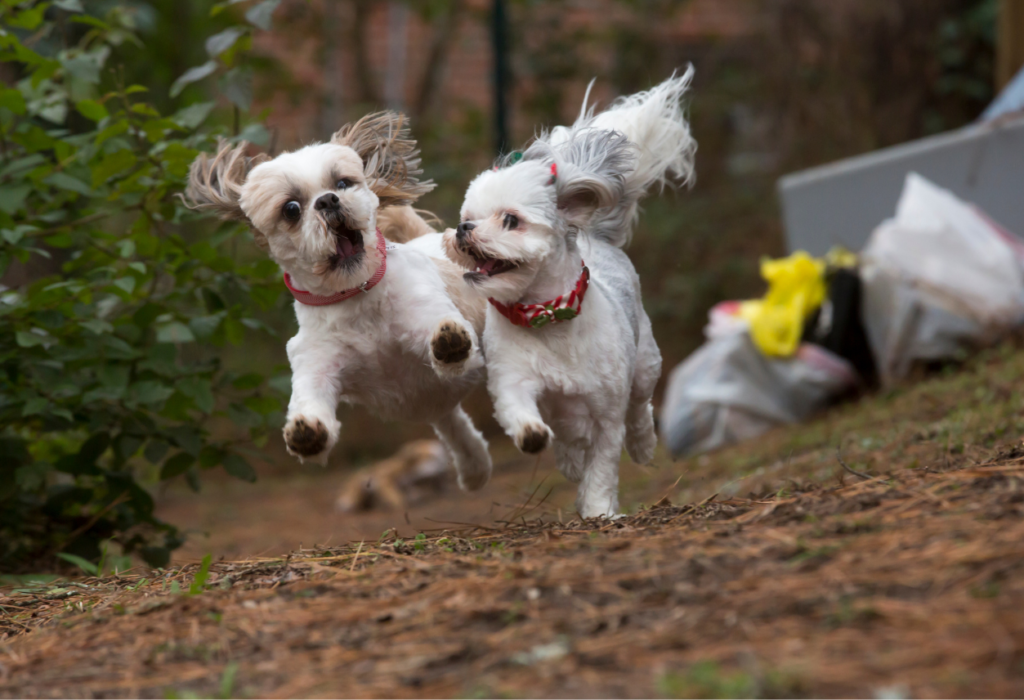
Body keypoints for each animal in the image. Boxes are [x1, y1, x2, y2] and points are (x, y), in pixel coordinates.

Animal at [186, 112, 493, 491]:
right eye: (291, 209)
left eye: (343, 182)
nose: (328, 200)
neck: (356, 294)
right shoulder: (315, 363)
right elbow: (310, 398)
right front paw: (308, 434)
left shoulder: (423, 309)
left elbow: (442, 331)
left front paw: (450, 341)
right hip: (439, 405)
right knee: (452, 423)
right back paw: (474, 466)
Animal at [446, 71, 696, 515]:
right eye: (467, 217)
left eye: (510, 220)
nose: (463, 229)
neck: (547, 315)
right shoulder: (514, 379)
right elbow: (520, 411)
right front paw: (532, 435)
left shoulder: (607, 412)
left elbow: (605, 463)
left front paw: (599, 510)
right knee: (567, 438)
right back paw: (566, 458)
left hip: (646, 364)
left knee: (640, 407)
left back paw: (643, 443)